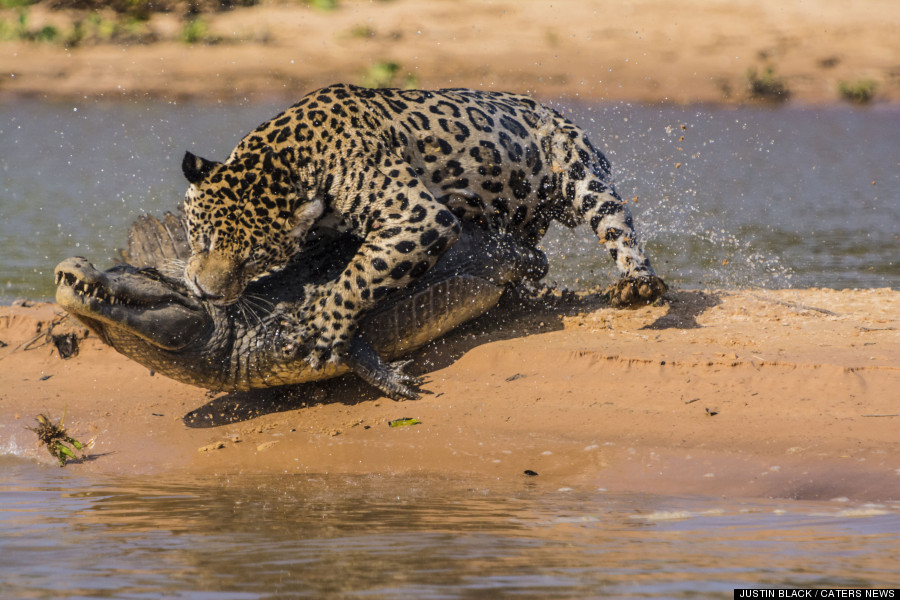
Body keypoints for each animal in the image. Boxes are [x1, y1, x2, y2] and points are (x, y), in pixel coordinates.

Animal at [181, 83, 667, 370]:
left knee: (618, 228)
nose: (205, 292)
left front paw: (322, 328)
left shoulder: (419, 215)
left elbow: (360, 275)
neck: (290, 155)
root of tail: (554, 111)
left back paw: (638, 284)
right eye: (201, 238)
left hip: (581, 173)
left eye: (253, 259)